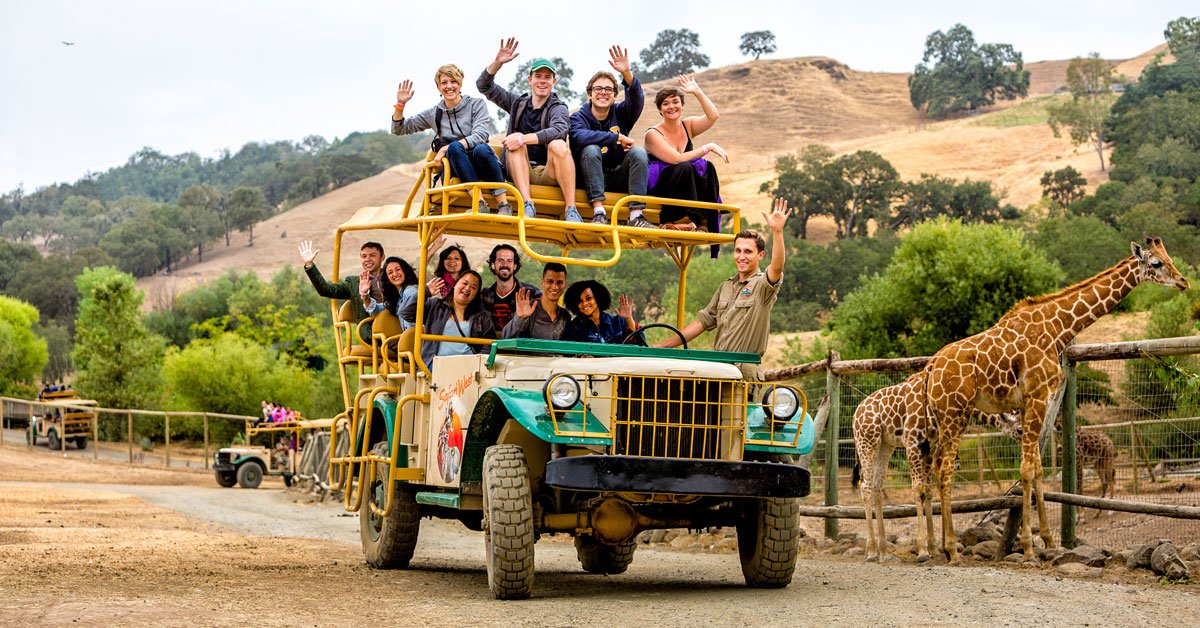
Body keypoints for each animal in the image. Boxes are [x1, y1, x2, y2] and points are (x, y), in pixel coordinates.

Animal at [854, 369, 1022, 559]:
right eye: (1019, 429)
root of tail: (856, 413)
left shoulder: (930, 448)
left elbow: (928, 491)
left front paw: (934, 548)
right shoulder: (912, 443)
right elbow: (918, 489)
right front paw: (923, 549)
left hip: (885, 445)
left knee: (877, 486)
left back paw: (883, 551)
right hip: (867, 441)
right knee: (865, 486)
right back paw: (872, 550)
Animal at [921, 238, 1185, 561]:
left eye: (1169, 258)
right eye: (1156, 263)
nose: (1183, 281)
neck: (1058, 327)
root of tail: (931, 369)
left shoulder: (1031, 402)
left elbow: (1037, 468)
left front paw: (1047, 540)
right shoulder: (1036, 396)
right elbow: (1026, 469)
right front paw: (1028, 547)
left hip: (943, 417)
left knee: (935, 467)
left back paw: (938, 548)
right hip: (954, 413)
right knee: (944, 469)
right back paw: (951, 550)